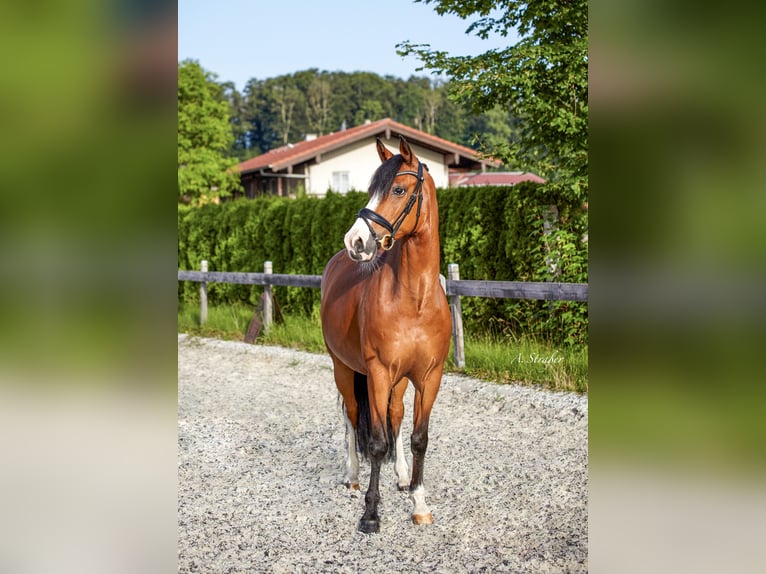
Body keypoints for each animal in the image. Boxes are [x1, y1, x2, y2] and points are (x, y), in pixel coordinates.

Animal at [320, 136, 452, 536]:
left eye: (398, 189)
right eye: (371, 190)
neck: (415, 299)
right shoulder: (376, 373)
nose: (356, 241)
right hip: (344, 369)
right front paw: (370, 514)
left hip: (398, 381)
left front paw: (419, 503)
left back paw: (403, 476)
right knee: (351, 415)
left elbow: (418, 437)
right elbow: (377, 442)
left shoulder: (428, 376)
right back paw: (351, 476)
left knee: (394, 416)